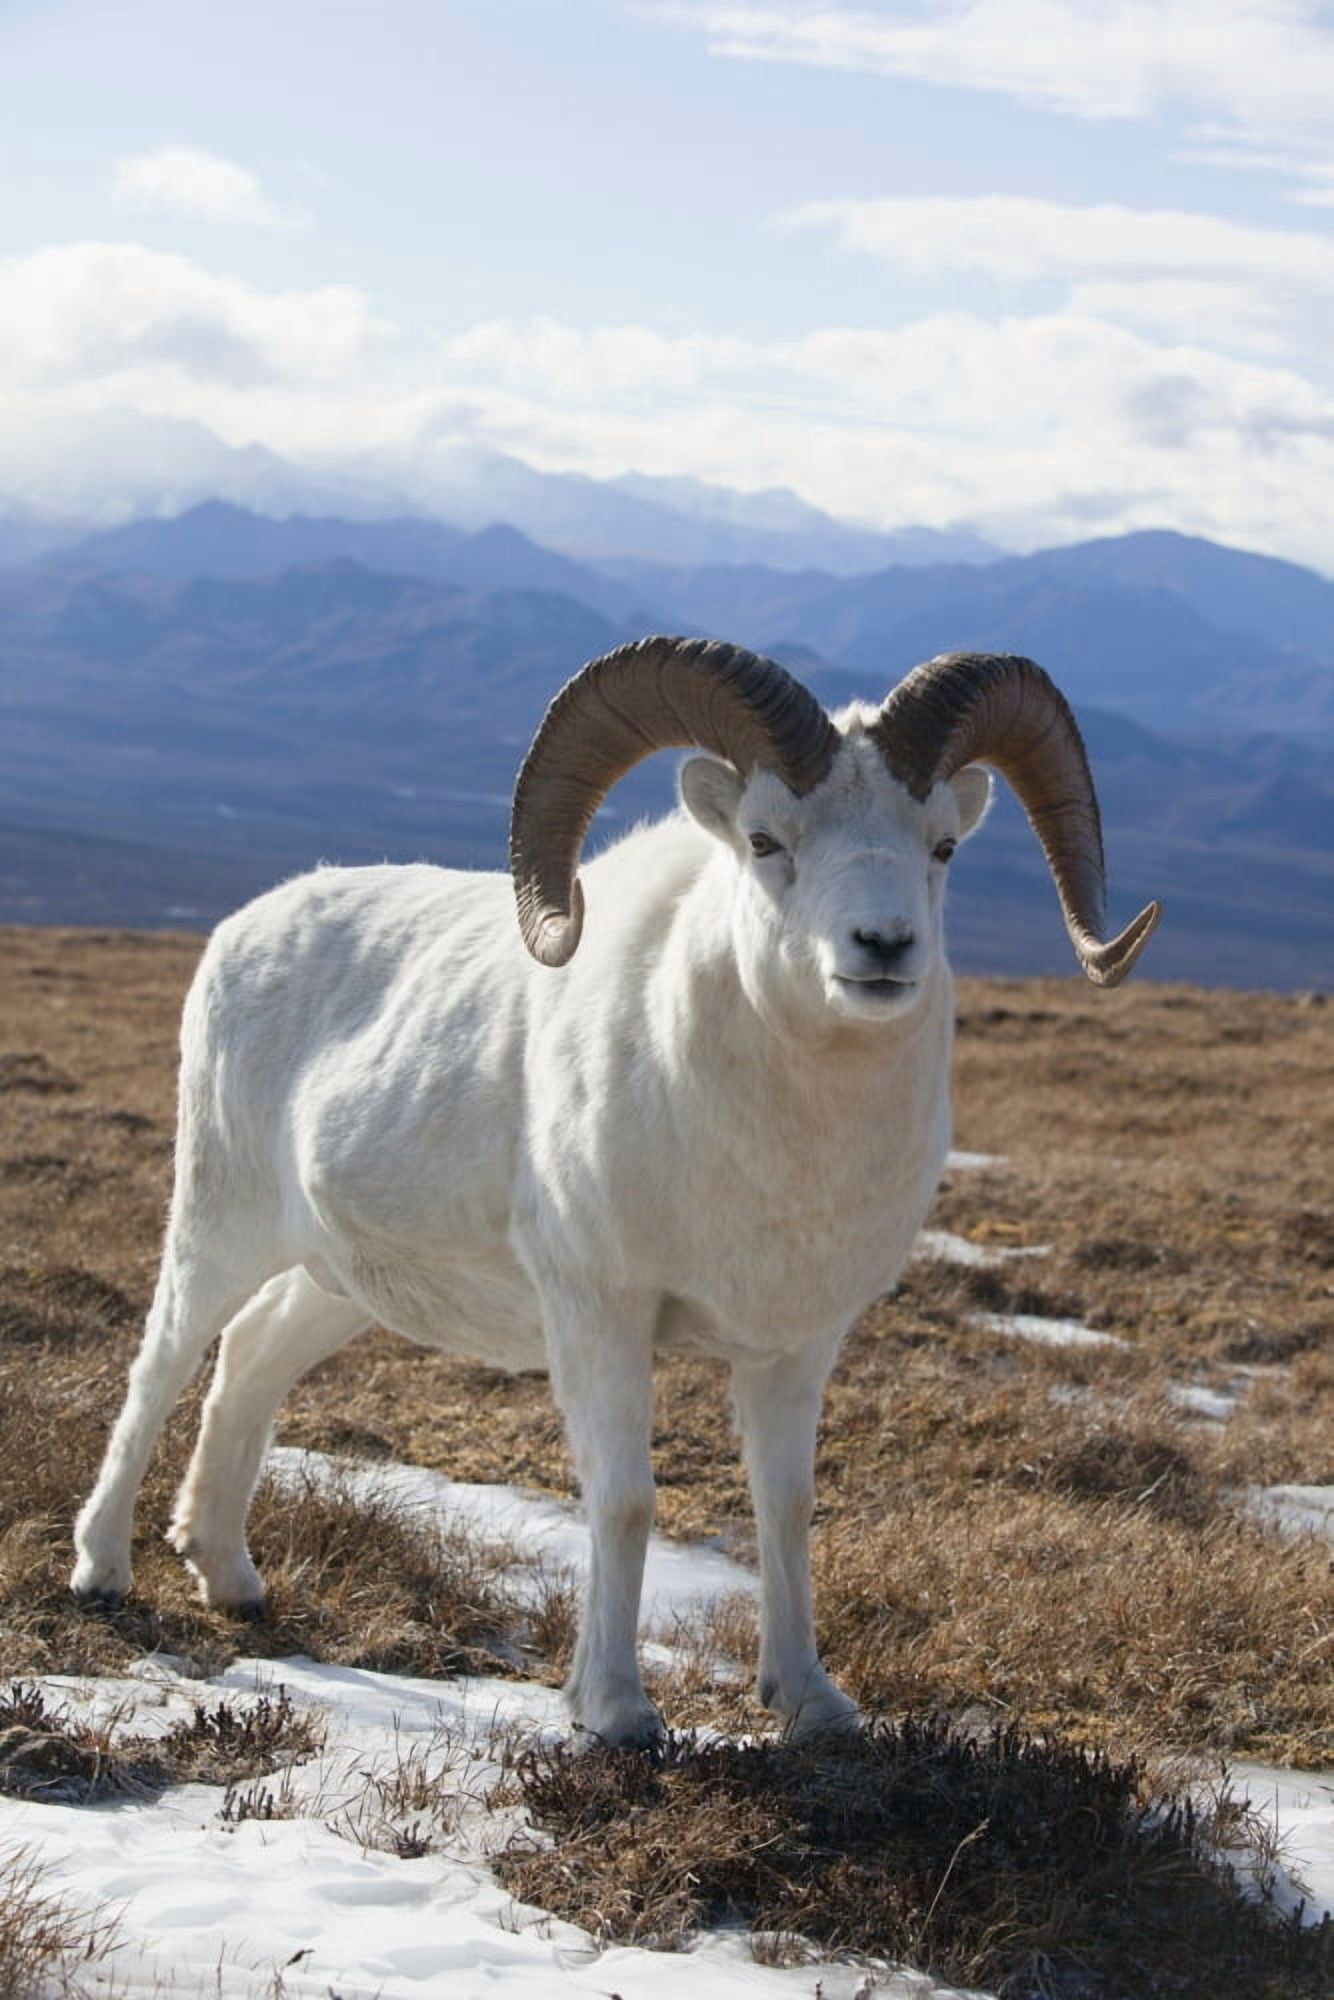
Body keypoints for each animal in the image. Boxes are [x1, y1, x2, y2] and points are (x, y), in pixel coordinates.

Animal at [71, 637, 1160, 1746]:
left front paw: (809, 1701)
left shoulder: (793, 1346)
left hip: (338, 1282)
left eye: (939, 845)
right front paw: (616, 1711)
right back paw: (103, 1571)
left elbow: (786, 1507)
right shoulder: (602, 1313)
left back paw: (229, 1577)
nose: (883, 947)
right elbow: (625, 1500)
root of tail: (242, 929)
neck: (772, 1154)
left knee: (251, 1356)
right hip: (220, 1225)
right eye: (766, 840)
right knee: (162, 1363)